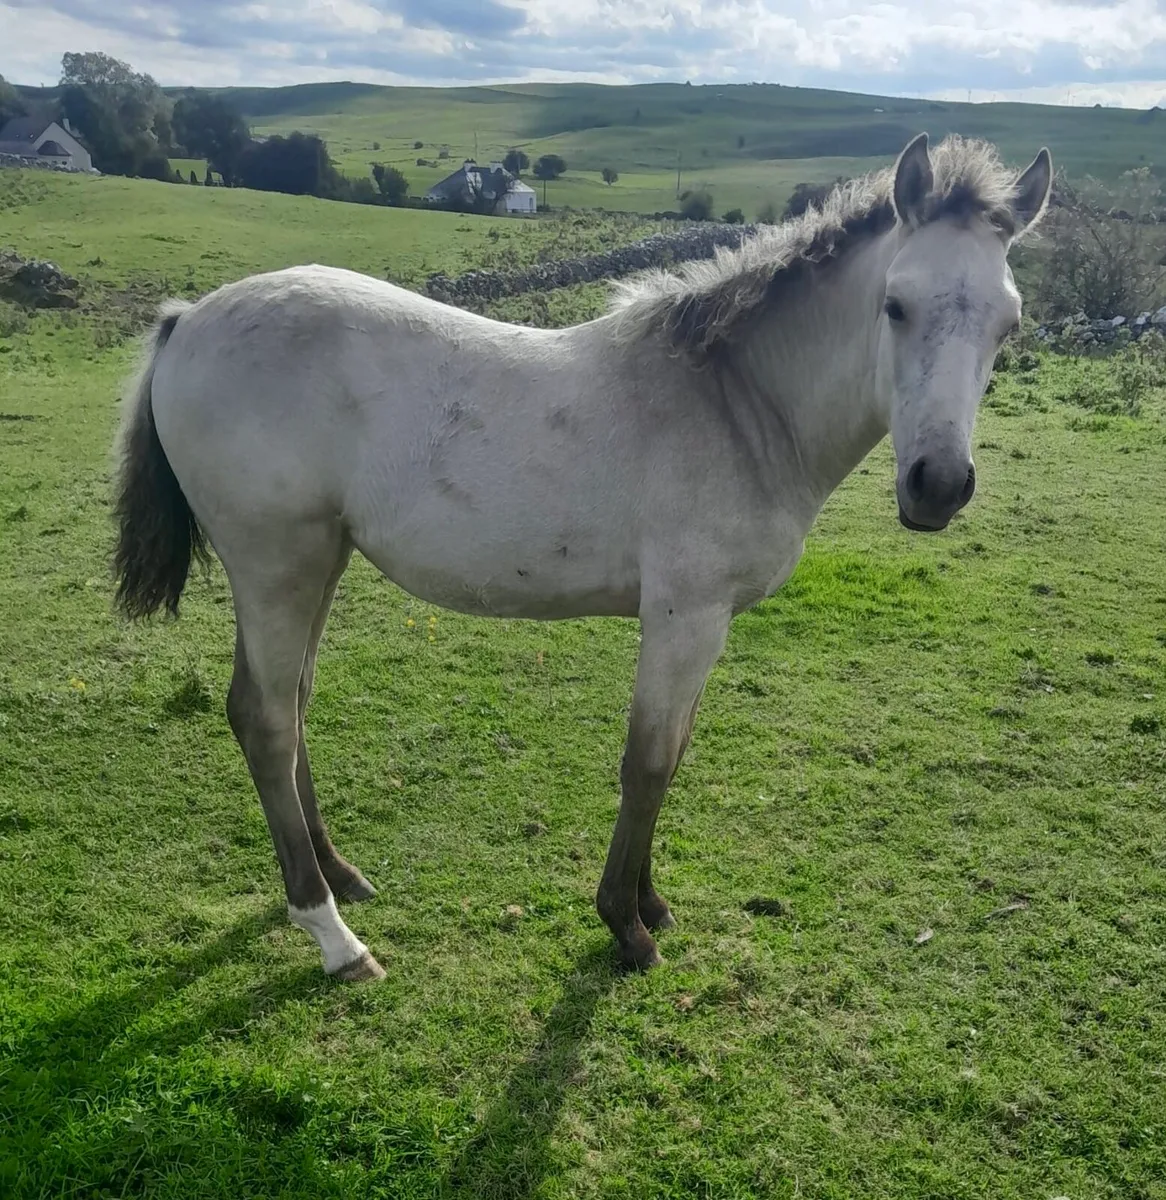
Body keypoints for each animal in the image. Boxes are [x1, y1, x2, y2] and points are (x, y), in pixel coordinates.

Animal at [112, 133, 1052, 982]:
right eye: (895, 305)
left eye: (1009, 322)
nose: (938, 486)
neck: (738, 403)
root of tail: (186, 321)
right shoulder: (684, 617)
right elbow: (648, 762)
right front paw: (626, 927)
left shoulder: (704, 626)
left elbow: (674, 754)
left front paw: (653, 903)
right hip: (276, 564)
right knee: (265, 720)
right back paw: (335, 938)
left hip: (319, 563)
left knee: (291, 706)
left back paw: (341, 875)